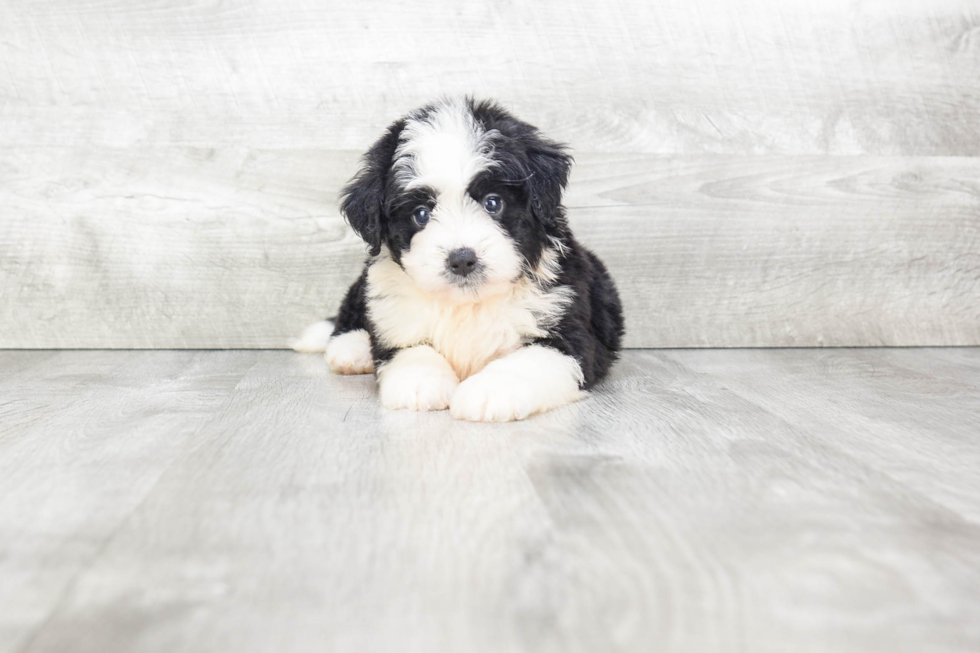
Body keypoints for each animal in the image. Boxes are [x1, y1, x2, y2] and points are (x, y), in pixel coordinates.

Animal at [294, 97, 624, 422]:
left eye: (493, 202)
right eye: (421, 214)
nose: (462, 259)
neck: (468, 305)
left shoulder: (568, 329)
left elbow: (529, 361)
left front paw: (490, 391)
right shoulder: (394, 311)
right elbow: (410, 347)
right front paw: (419, 382)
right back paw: (351, 348)